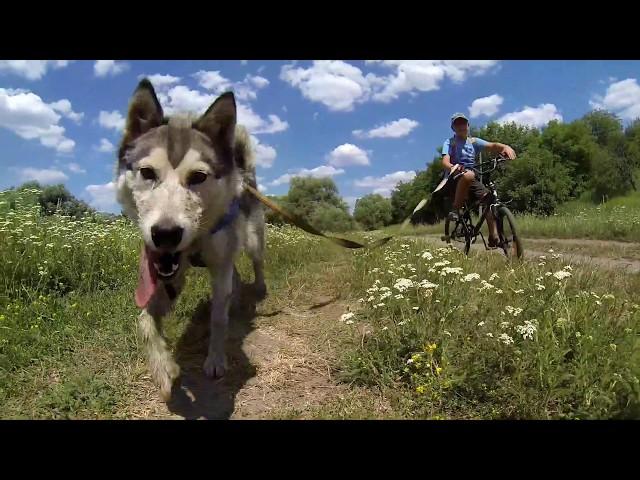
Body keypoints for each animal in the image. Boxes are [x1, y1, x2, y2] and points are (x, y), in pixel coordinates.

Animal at [116, 79, 266, 402]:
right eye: (147, 172)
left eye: (198, 176)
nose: (166, 233)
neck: (196, 241)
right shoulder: (166, 276)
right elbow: (144, 321)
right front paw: (163, 367)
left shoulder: (219, 265)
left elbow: (219, 319)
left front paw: (216, 359)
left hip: (253, 239)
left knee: (256, 263)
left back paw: (258, 289)